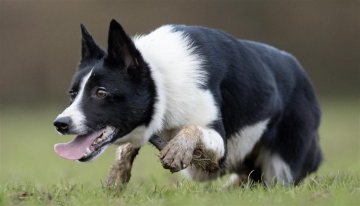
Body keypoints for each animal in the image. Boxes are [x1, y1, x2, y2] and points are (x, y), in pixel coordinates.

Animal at [54, 19, 324, 187]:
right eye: (72, 94)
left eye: (101, 93)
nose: (60, 123)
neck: (161, 79)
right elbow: (126, 151)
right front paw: (116, 179)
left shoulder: (217, 151)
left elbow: (193, 129)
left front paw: (177, 149)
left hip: (282, 164)